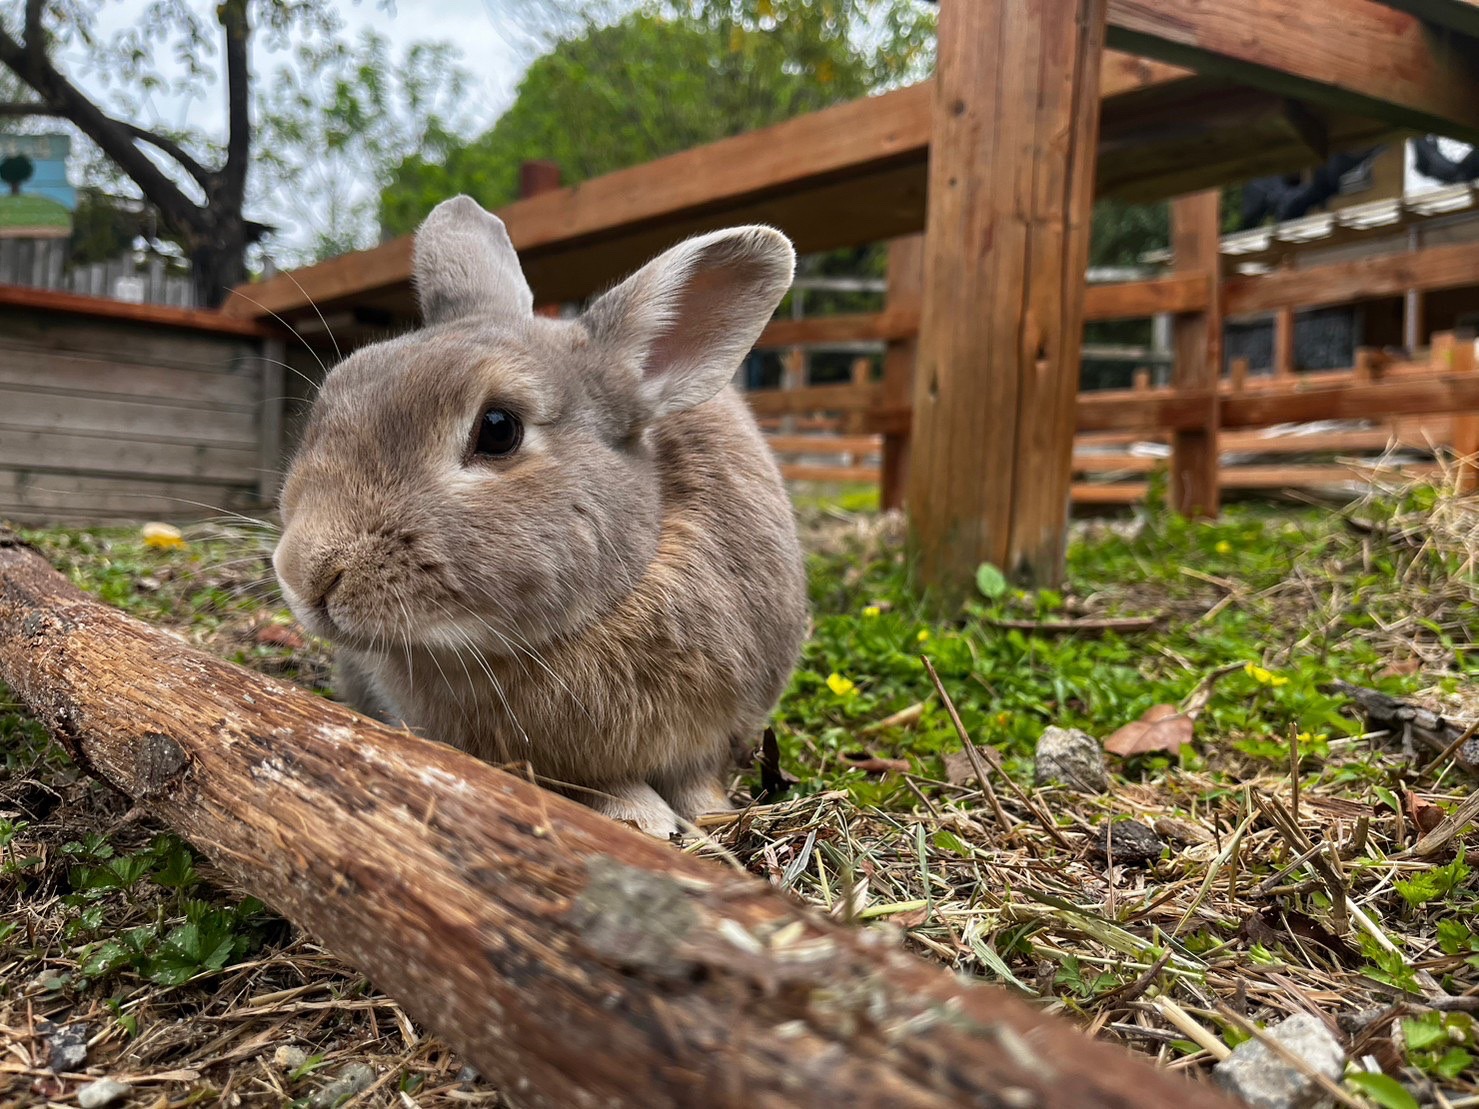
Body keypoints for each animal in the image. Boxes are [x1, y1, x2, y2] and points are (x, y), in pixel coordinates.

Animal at [272, 199, 816, 839]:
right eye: (335, 390)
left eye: (498, 429)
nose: (304, 572)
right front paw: (645, 818)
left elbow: (694, 776)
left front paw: (708, 815)